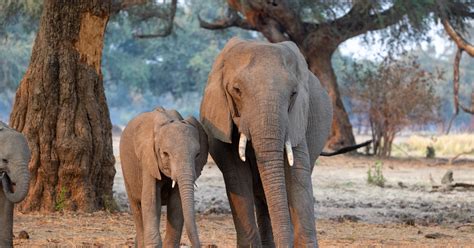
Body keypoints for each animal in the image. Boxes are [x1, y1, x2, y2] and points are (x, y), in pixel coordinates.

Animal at [118, 107, 207, 248]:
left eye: (197, 155)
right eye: (165, 154)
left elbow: (177, 203)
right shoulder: (148, 158)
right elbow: (150, 200)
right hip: (126, 169)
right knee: (137, 207)